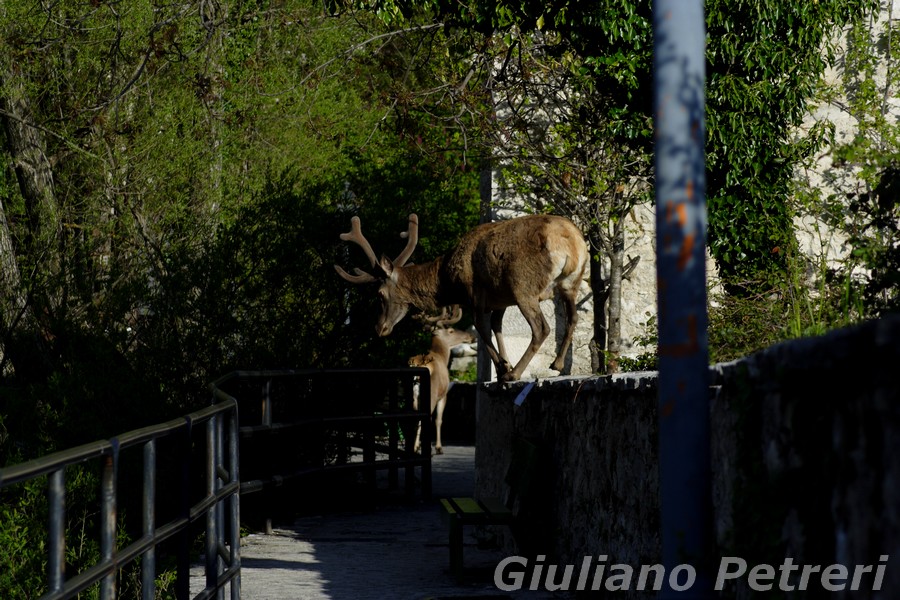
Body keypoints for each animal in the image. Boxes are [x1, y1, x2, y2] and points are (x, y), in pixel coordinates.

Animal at [334, 212, 588, 380]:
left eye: (380, 294)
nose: (380, 328)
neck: (447, 281)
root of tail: (572, 242)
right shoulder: (500, 299)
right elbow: (497, 327)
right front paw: (503, 363)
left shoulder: (474, 294)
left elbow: (482, 331)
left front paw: (503, 368)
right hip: (570, 283)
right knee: (573, 318)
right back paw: (556, 364)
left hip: (523, 286)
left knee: (541, 328)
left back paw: (516, 373)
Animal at [410, 308, 478, 452]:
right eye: (451, 330)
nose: (470, 336)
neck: (442, 356)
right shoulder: (443, 394)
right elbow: (439, 420)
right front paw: (439, 447)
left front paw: (418, 445)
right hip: (431, 393)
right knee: (426, 418)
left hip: (413, 396)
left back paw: (414, 447)